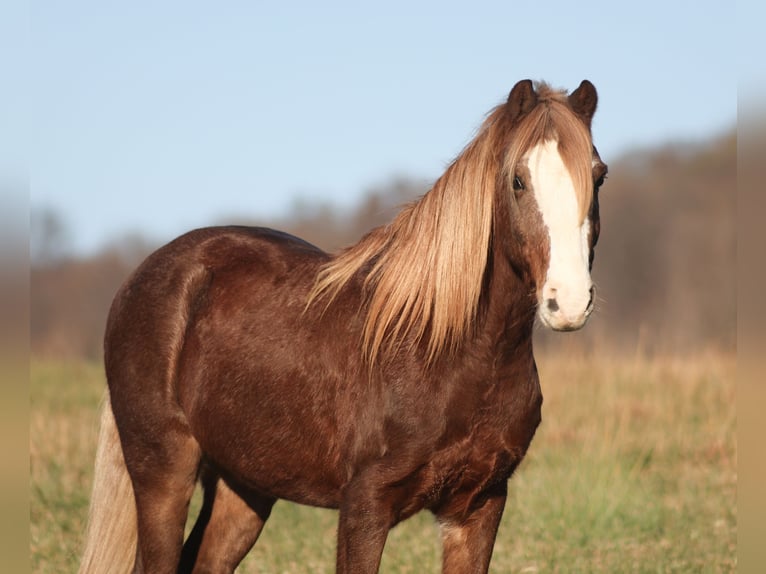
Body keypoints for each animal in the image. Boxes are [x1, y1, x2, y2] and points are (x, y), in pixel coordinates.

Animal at [79, 79, 608, 574]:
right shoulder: (364, 507)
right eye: (518, 180)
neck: (449, 353)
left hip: (244, 485)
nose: (568, 301)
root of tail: (142, 278)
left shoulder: (479, 505)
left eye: (598, 177)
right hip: (163, 472)